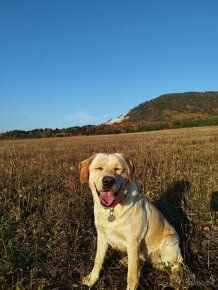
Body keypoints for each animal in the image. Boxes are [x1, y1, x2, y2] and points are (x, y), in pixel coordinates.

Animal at [79, 153, 183, 288]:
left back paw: (175, 279)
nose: (108, 180)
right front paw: (92, 279)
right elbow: (98, 260)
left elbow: (132, 275)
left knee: (176, 265)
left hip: (169, 242)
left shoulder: (133, 242)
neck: (112, 210)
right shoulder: (102, 236)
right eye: (99, 168)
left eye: (117, 169)